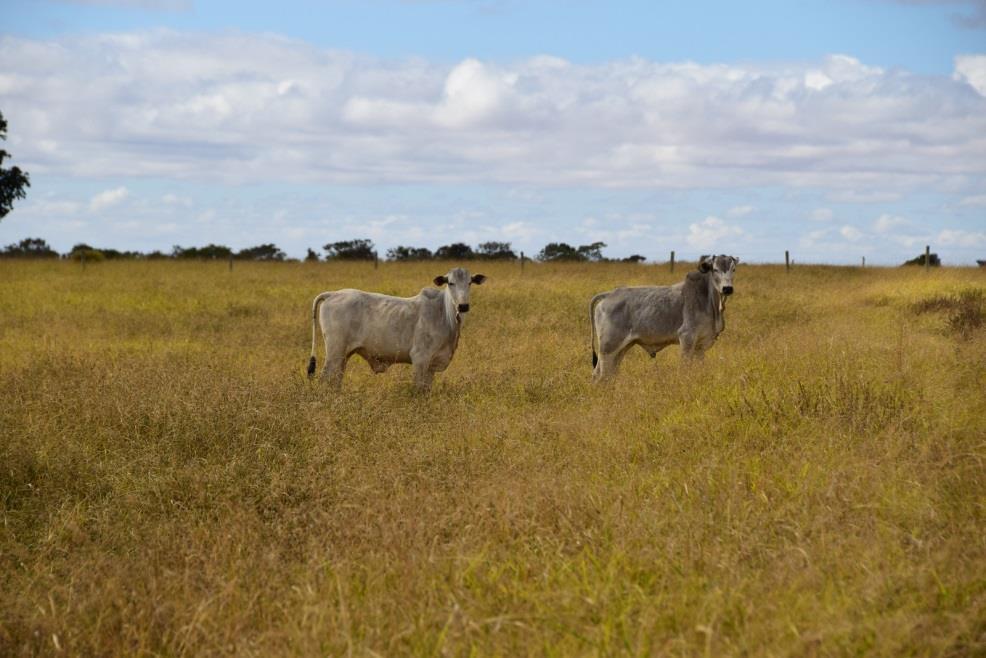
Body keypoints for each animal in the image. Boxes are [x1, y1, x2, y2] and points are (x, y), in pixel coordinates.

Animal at [302, 266, 482, 390]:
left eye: (470, 283)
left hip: (343, 356)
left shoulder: (432, 365)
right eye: (451, 283)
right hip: (335, 352)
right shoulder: (420, 359)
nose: (463, 306)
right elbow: (419, 390)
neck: (444, 314)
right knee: (325, 378)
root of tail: (332, 294)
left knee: (336, 380)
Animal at [584, 254, 736, 382]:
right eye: (715, 269)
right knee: (600, 375)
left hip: (621, 348)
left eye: (733, 269)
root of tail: (609, 294)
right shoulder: (686, 337)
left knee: (608, 374)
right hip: (608, 347)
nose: (727, 288)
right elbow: (685, 368)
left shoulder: (701, 345)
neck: (709, 300)